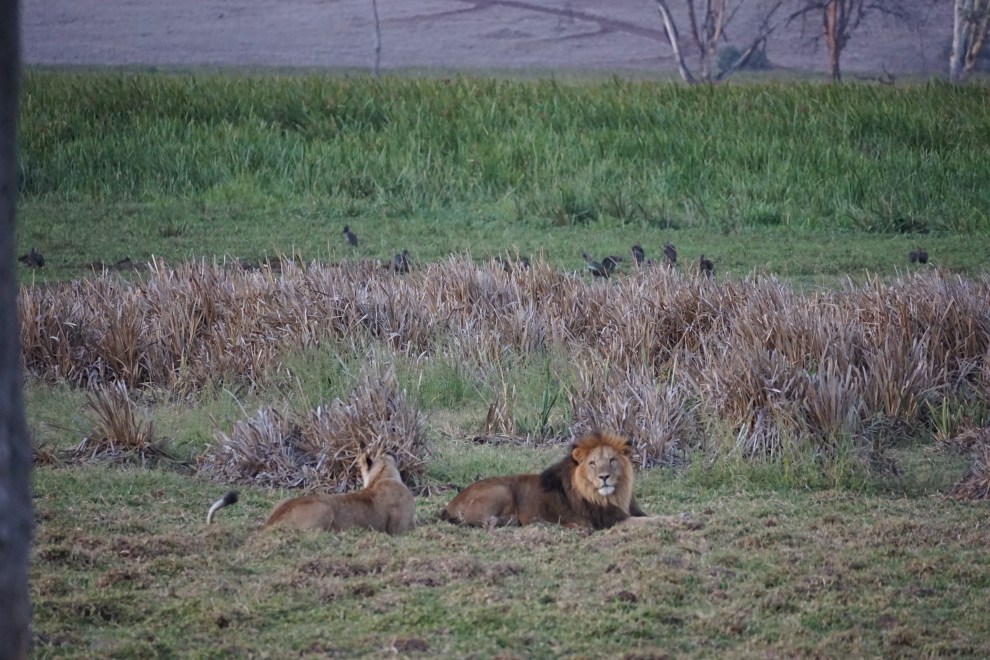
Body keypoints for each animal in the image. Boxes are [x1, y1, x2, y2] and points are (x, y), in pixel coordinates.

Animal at [440, 431, 651, 530]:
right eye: (592, 463)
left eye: (612, 460)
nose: (604, 477)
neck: (614, 496)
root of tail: (449, 505)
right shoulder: (608, 521)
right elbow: (653, 520)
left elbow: (649, 517)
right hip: (502, 490)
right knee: (487, 522)